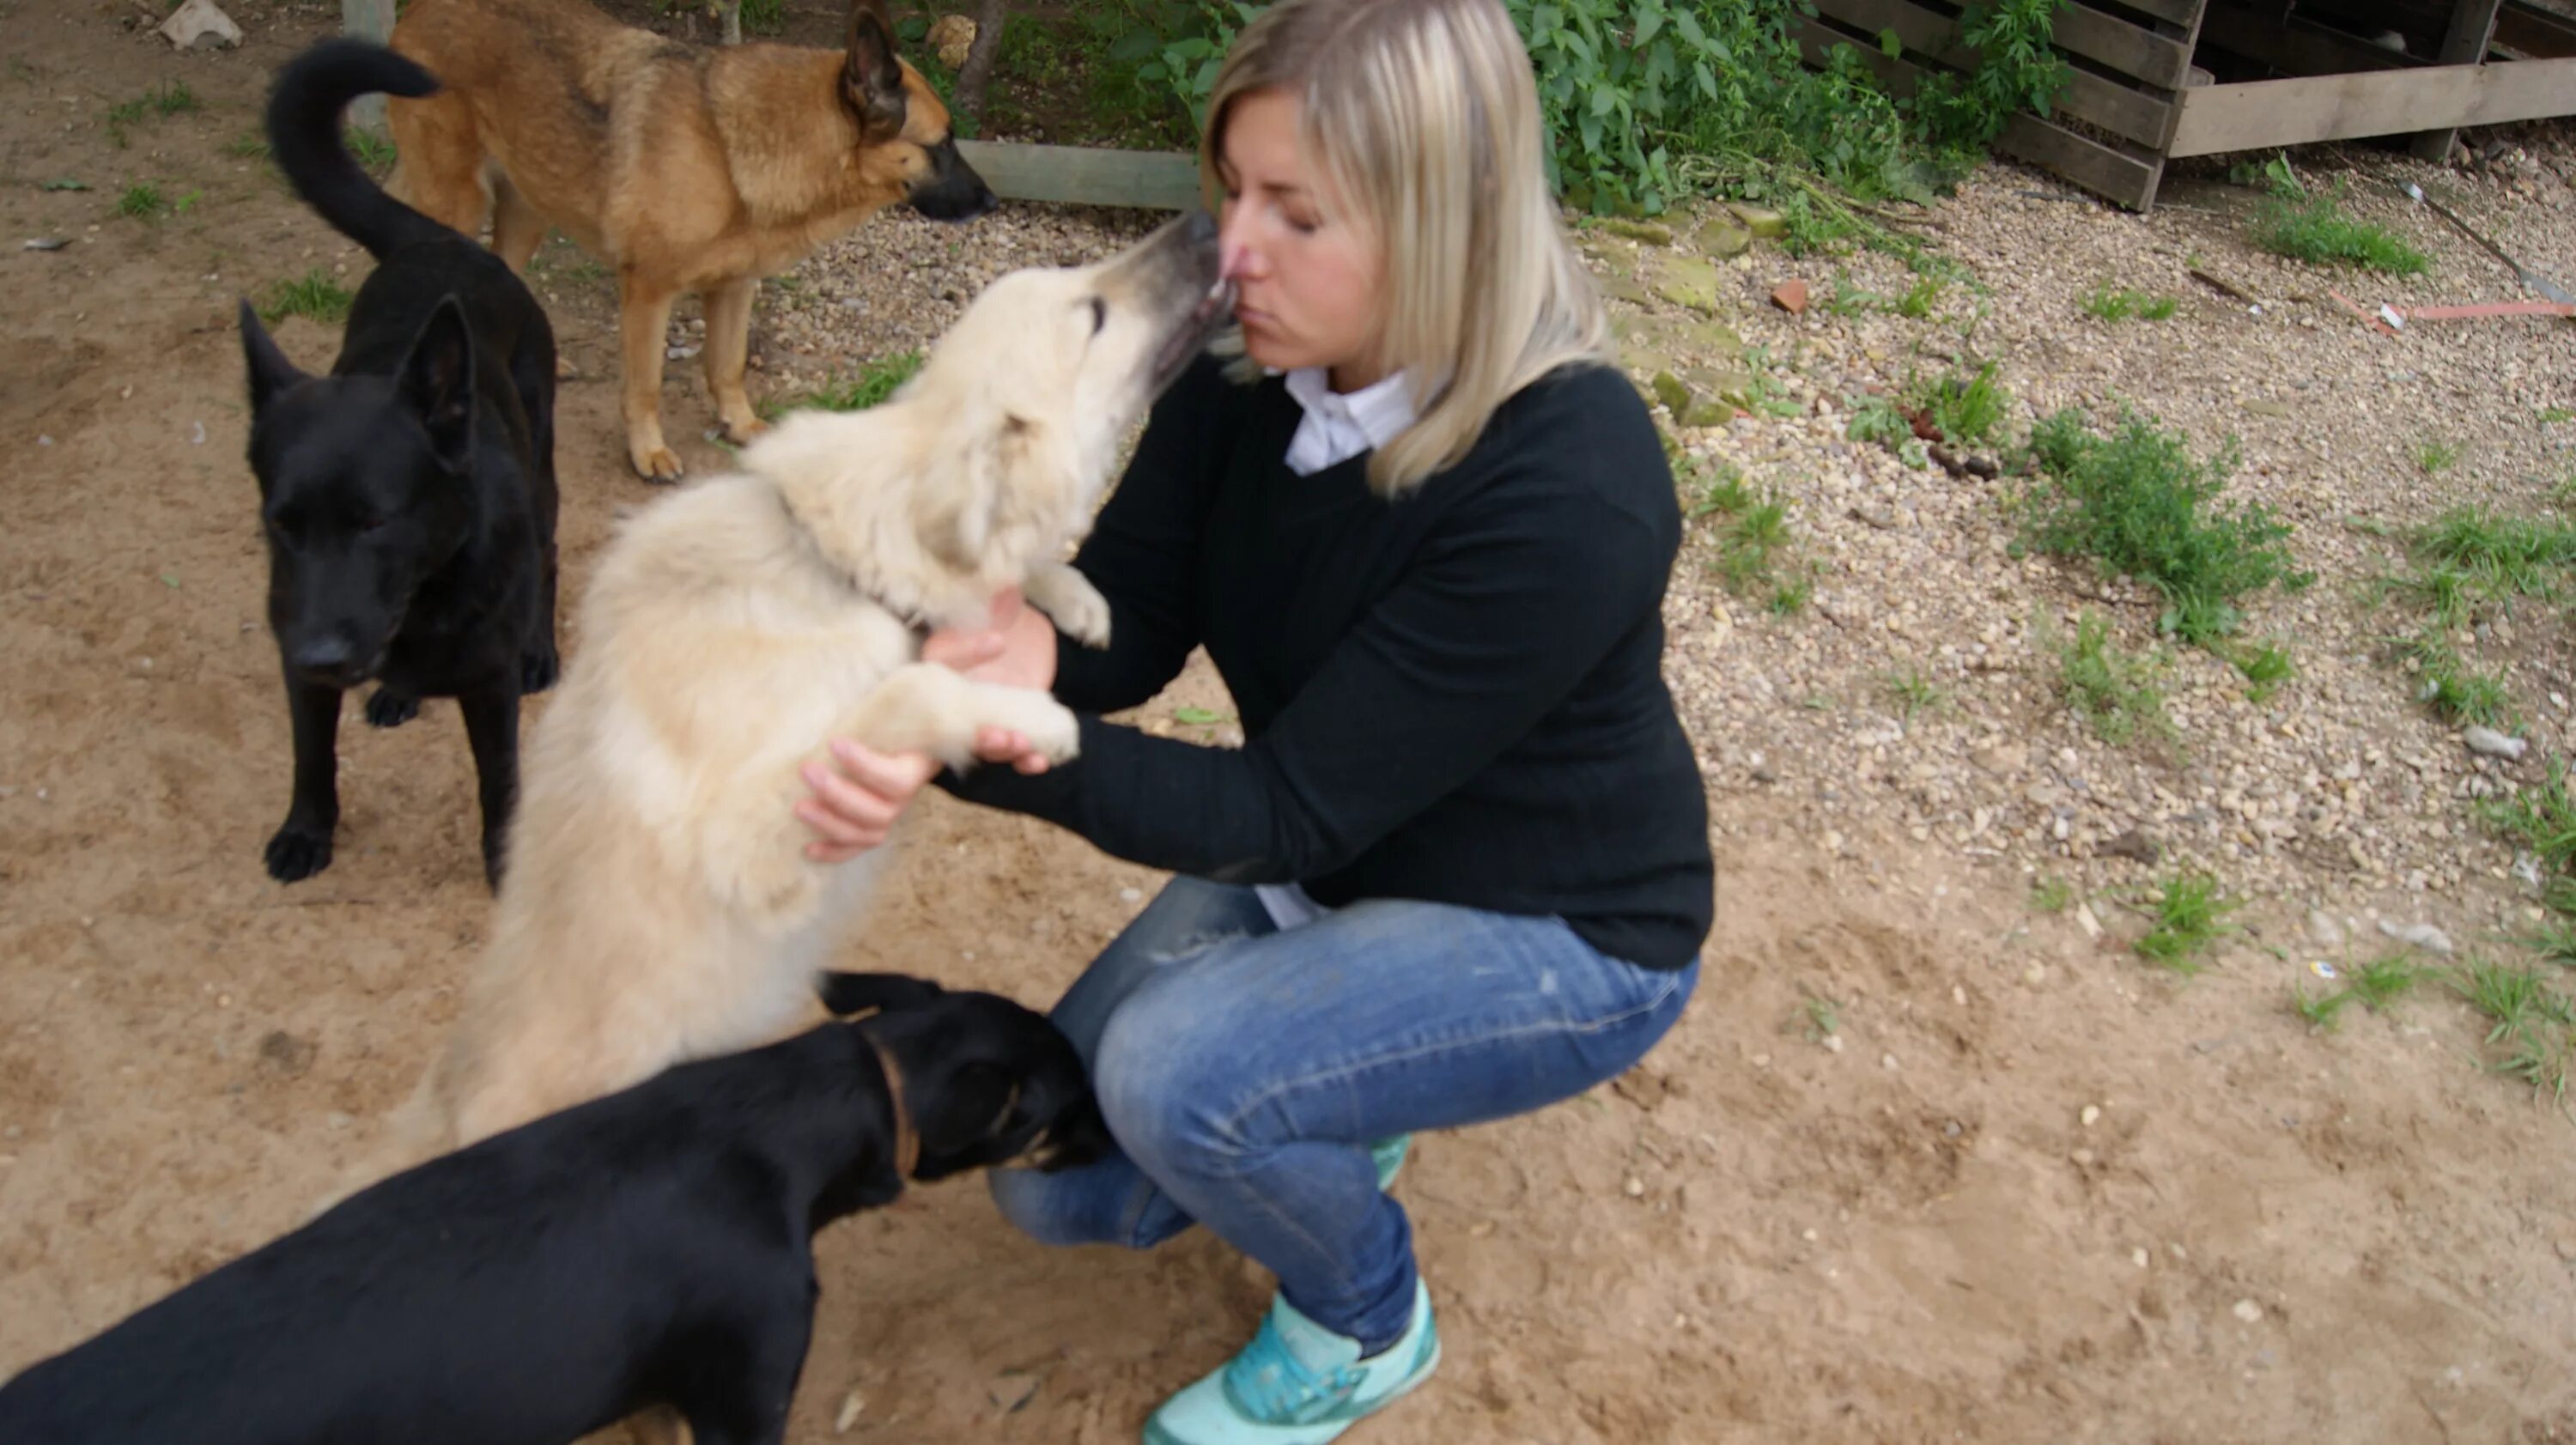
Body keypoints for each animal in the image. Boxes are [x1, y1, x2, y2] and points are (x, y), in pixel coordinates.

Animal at [240, 33, 562, 886]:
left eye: (376, 521)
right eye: (281, 524)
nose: (325, 653)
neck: (421, 599)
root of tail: (437, 240)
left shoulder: (487, 687)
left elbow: (499, 782)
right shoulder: (297, 663)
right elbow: (310, 756)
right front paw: (306, 831)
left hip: (542, 466)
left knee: (549, 556)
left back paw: (542, 650)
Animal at [325, 206, 1236, 1195]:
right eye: (1093, 312)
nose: (1204, 219)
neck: (840, 563)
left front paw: (1075, 601)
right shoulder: (750, 842)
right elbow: (912, 681)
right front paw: (1032, 714)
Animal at [386, 0, 999, 479]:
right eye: (942, 144)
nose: (992, 203)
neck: (729, 149)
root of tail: (419, 8)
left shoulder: (734, 287)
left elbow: (727, 366)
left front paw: (741, 424)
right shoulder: (648, 293)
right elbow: (646, 384)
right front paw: (648, 453)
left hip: (527, 209)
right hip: (459, 202)